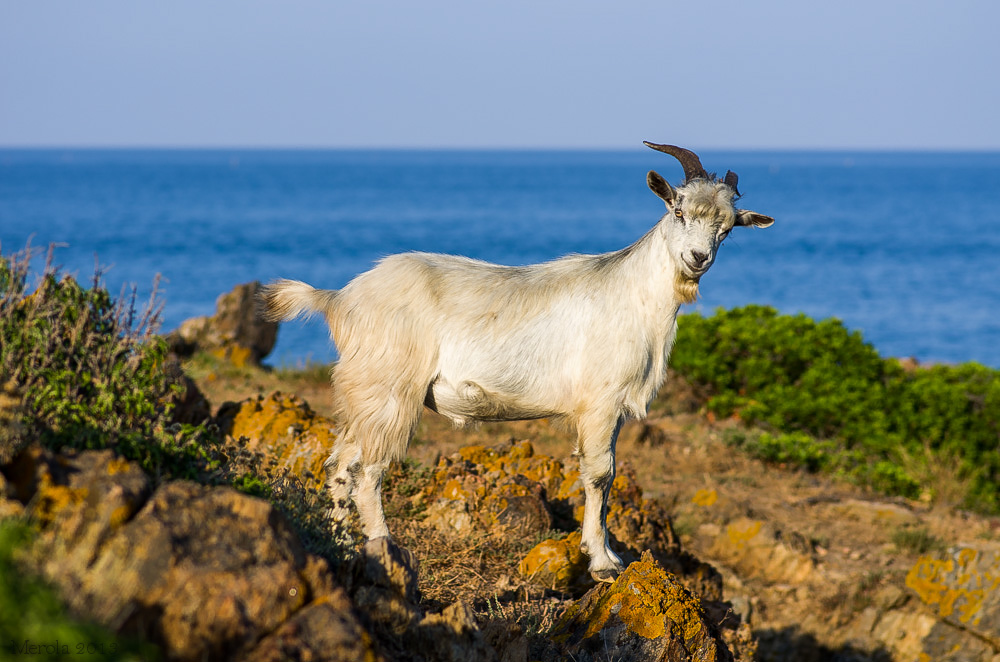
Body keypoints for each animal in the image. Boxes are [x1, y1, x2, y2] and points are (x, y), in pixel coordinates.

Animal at [260, 142, 774, 582]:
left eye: (728, 227)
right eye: (678, 210)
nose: (698, 257)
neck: (632, 292)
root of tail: (339, 299)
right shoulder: (601, 403)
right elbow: (600, 475)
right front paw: (603, 562)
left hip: (364, 394)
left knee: (340, 464)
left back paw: (342, 542)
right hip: (390, 391)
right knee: (369, 470)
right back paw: (381, 546)